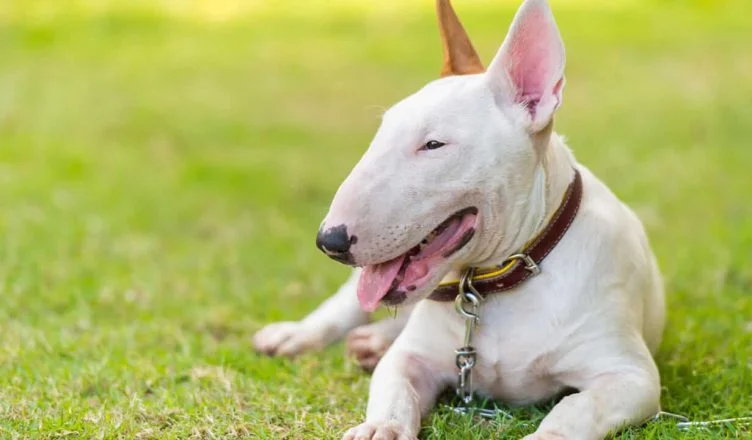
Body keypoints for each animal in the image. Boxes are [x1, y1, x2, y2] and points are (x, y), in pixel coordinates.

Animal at [258, 1, 664, 438]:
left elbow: (575, 409)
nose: (329, 241)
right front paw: (380, 427)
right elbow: (394, 389)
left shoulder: (630, 377)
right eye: (379, 137)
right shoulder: (411, 358)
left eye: (433, 144)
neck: (495, 283)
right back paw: (302, 335)